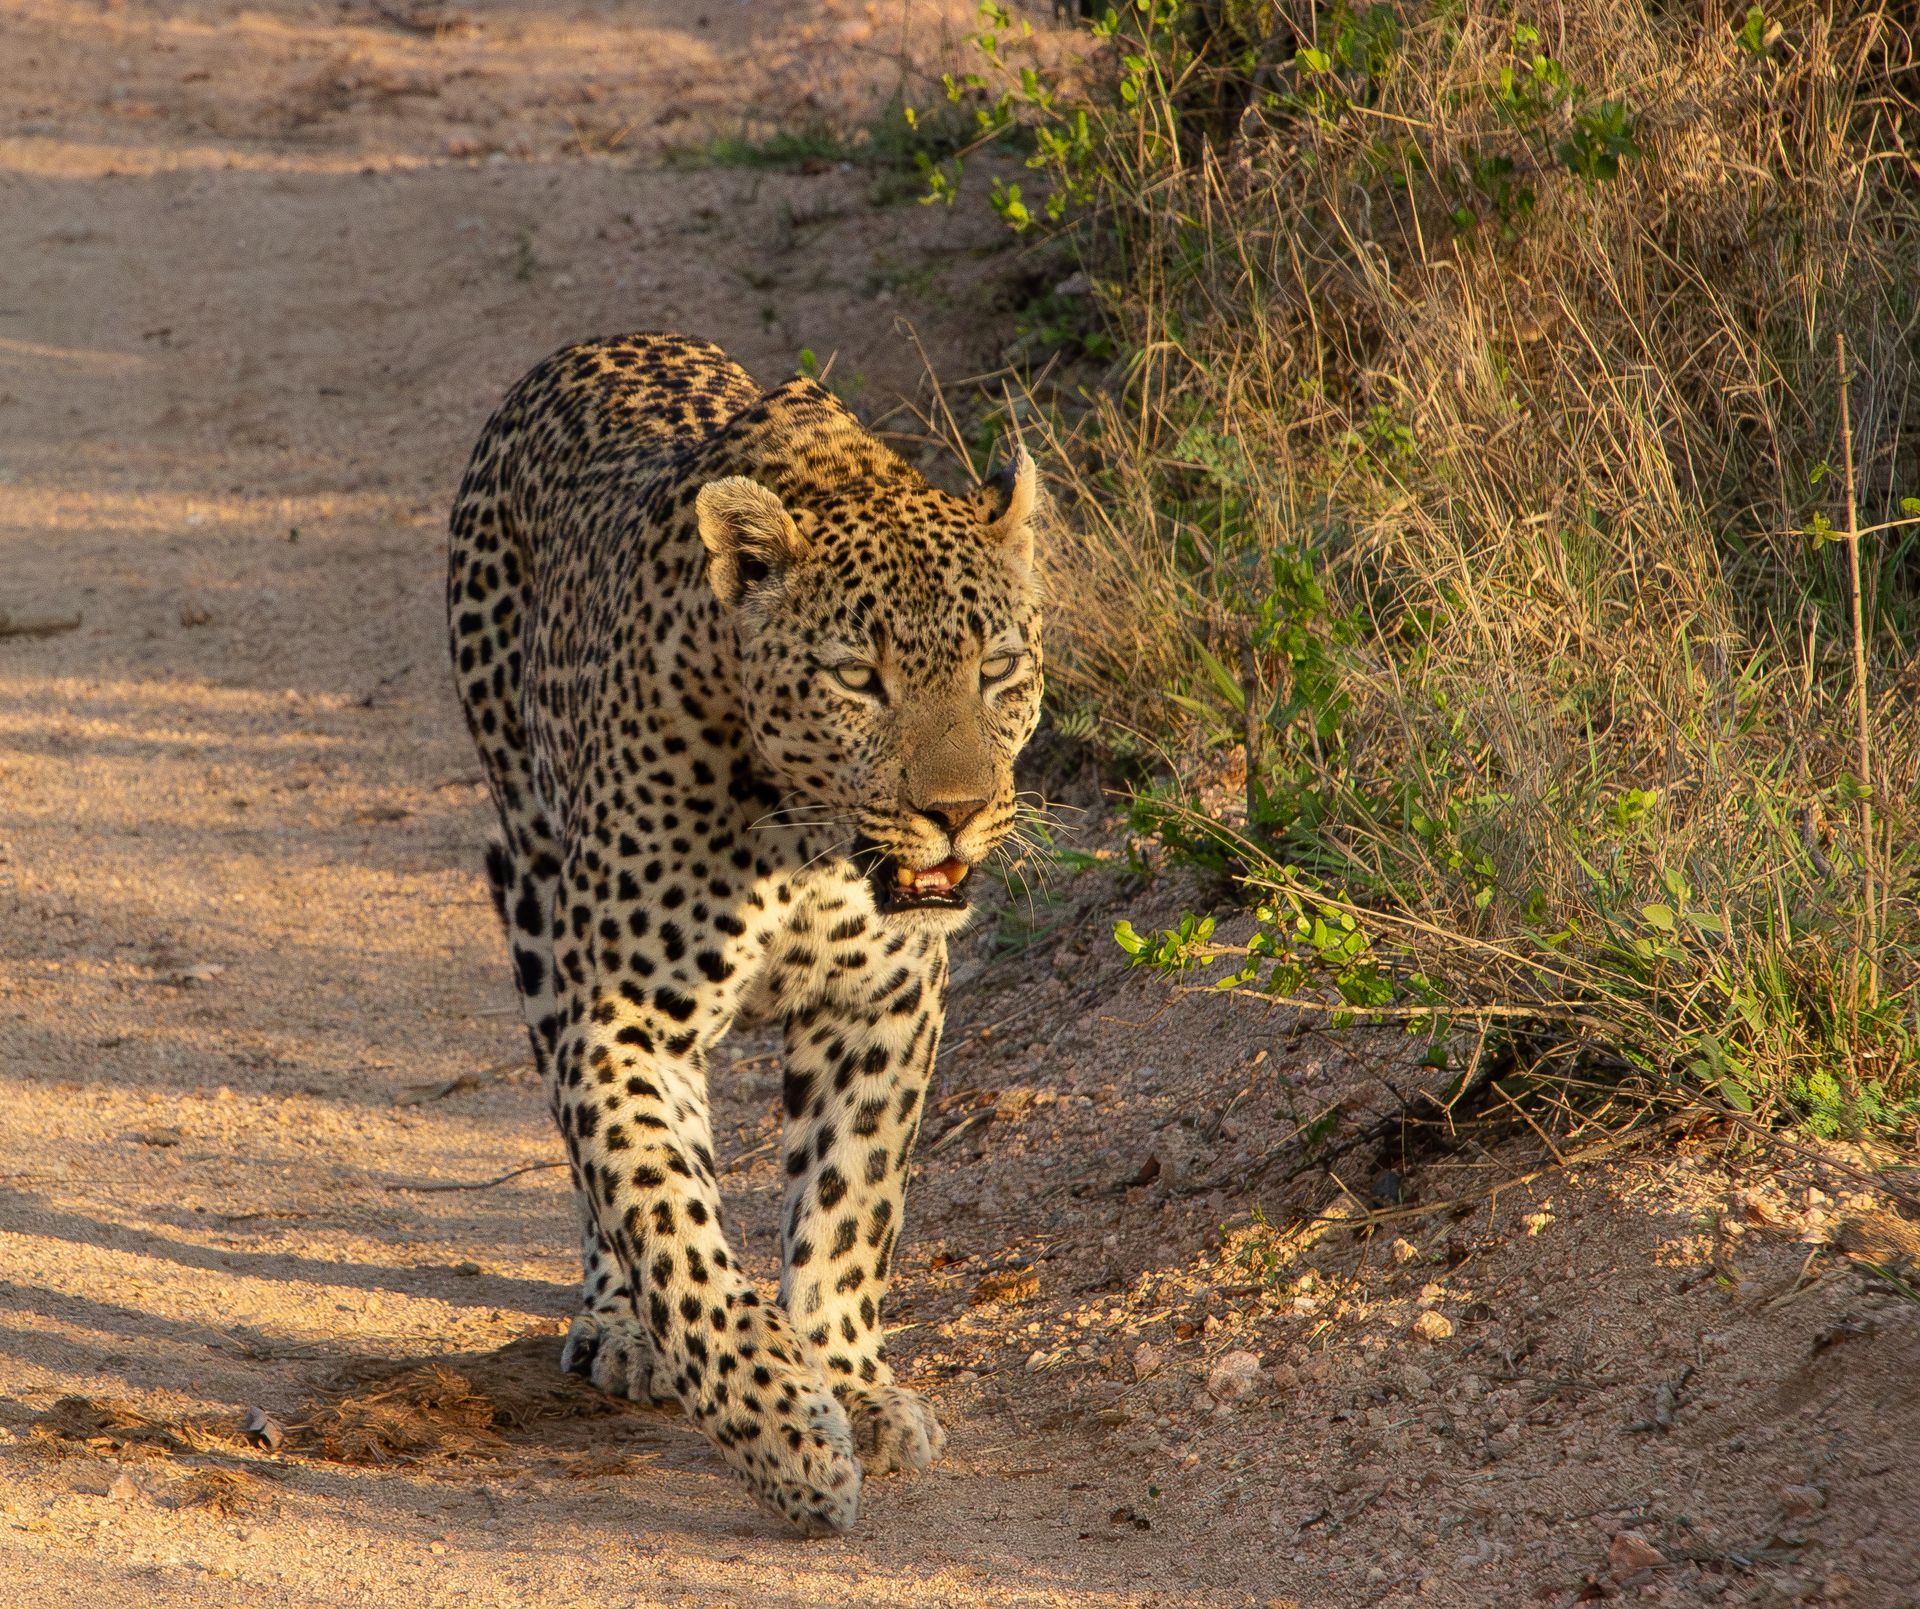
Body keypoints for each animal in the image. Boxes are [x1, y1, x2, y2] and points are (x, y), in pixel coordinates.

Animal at [446, 332, 1045, 1535]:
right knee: (604, 1174)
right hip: (534, 886)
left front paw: (851, 1385)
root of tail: (593, 344)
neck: (808, 840)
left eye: (999, 668)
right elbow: (668, 1224)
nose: (958, 810)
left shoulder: (881, 1009)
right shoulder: (627, 1018)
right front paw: (784, 1435)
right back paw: (620, 1325)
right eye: (859, 678)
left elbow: (849, 1207)